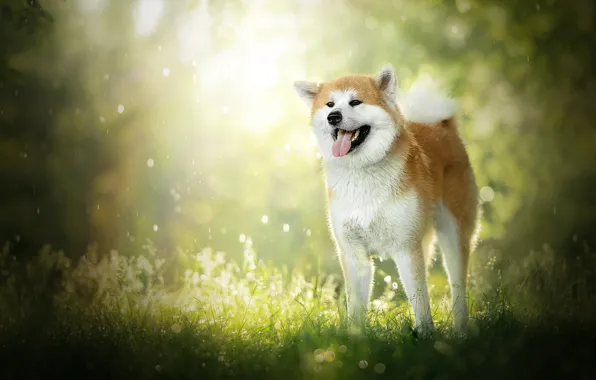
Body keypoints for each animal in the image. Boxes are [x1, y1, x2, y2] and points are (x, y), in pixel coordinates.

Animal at [294, 66, 480, 336]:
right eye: (329, 104)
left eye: (355, 102)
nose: (333, 117)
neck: (362, 174)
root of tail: (442, 126)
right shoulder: (354, 253)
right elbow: (356, 306)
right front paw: (354, 337)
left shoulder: (406, 247)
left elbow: (420, 300)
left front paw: (426, 335)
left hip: (453, 235)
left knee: (457, 287)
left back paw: (461, 330)